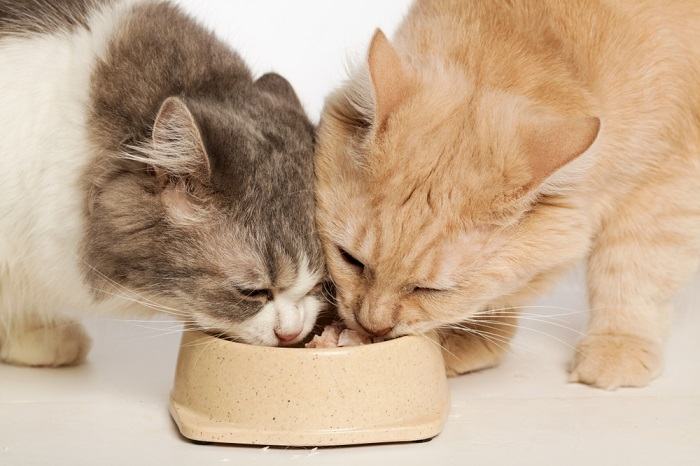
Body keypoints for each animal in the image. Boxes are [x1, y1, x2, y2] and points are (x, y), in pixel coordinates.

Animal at [318, 0, 700, 390]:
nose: (372, 325)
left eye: (433, 290)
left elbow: (630, 269)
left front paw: (617, 346)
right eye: (350, 259)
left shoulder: (664, 183)